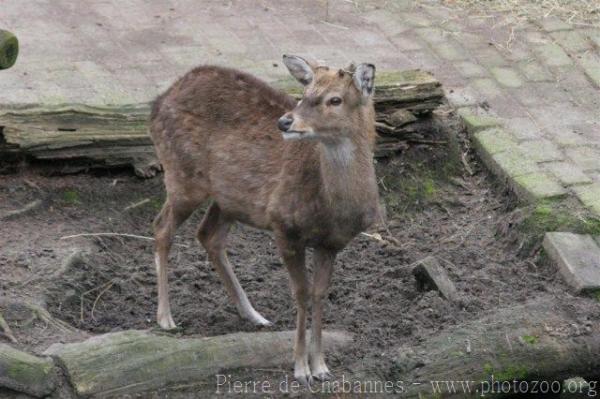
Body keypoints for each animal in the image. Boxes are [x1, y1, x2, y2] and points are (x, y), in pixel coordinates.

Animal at [150, 54, 380, 386]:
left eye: (335, 99)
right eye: (304, 93)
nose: (285, 121)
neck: (334, 208)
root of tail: (159, 101)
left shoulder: (331, 243)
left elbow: (319, 294)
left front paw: (322, 367)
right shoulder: (283, 226)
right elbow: (301, 293)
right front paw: (301, 369)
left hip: (229, 198)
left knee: (208, 235)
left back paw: (254, 315)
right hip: (182, 175)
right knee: (162, 228)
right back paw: (166, 318)